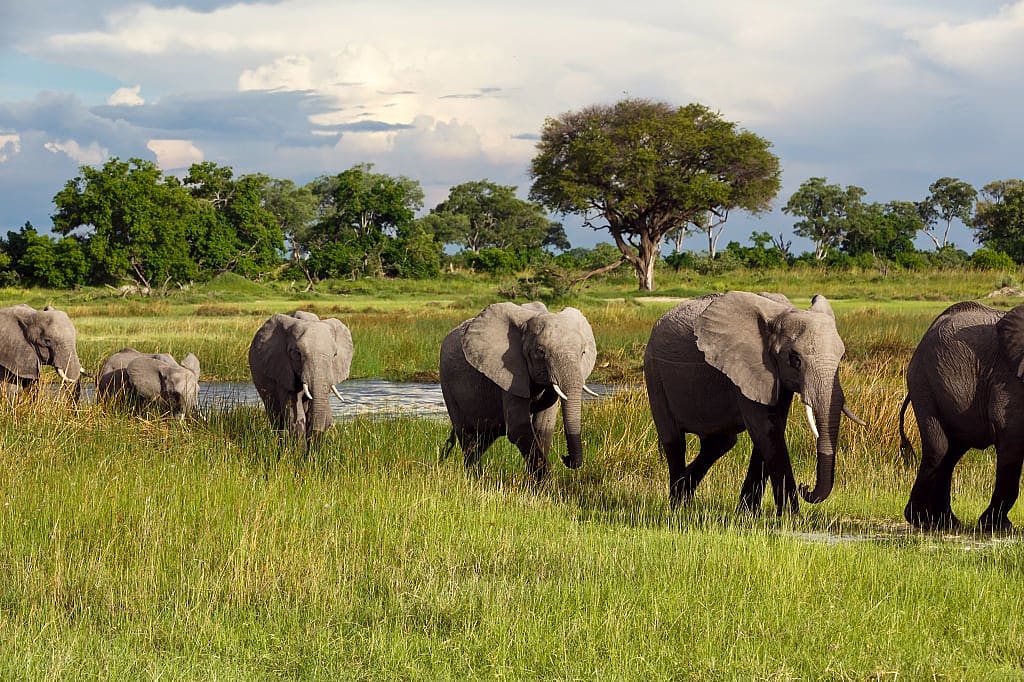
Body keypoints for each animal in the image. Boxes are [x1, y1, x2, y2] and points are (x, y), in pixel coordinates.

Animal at [248, 310, 354, 440]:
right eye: (297, 353)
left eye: (335, 355)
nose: (317, 431)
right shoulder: (282, 369)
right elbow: (295, 416)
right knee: (276, 416)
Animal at [439, 301, 598, 481]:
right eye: (540, 352)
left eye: (583, 352)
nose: (566, 458)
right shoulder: (509, 372)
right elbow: (518, 428)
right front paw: (546, 483)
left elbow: (544, 427)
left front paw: (535, 483)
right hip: (447, 383)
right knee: (467, 436)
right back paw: (475, 478)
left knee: (484, 439)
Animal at [644, 292, 864, 514]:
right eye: (795, 359)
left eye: (841, 358)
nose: (806, 487)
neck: (783, 313)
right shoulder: (746, 366)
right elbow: (766, 431)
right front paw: (790, 517)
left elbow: (773, 429)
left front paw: (748, 514)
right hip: (654, 373)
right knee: (674, 441)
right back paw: (676, 507)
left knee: (720, 443)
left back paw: (685, 497)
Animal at [900, 301, 1024, 532]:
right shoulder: (1010, 380)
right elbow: (1011, 439)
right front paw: (999, 527)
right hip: (925, 384)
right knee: (939, 449)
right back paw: (922, 521)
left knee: (951, 453)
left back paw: (947, 522)